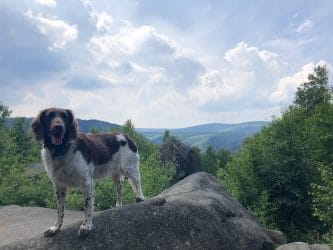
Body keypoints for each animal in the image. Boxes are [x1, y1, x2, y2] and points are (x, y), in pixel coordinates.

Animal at [31, 107, 144, 238]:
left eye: (65, 117)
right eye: (50, 116)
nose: (58, 127)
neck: (61, 150)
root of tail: (127, 136)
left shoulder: (87, 183)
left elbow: (88, 206)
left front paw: (86, 226)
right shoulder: (59, 186)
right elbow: (60, 209)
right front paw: (56, 227)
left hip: (128, 168)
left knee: (137, 182)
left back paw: (140, 198)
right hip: (115, 174)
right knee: (120, 189)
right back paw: (118, 205)